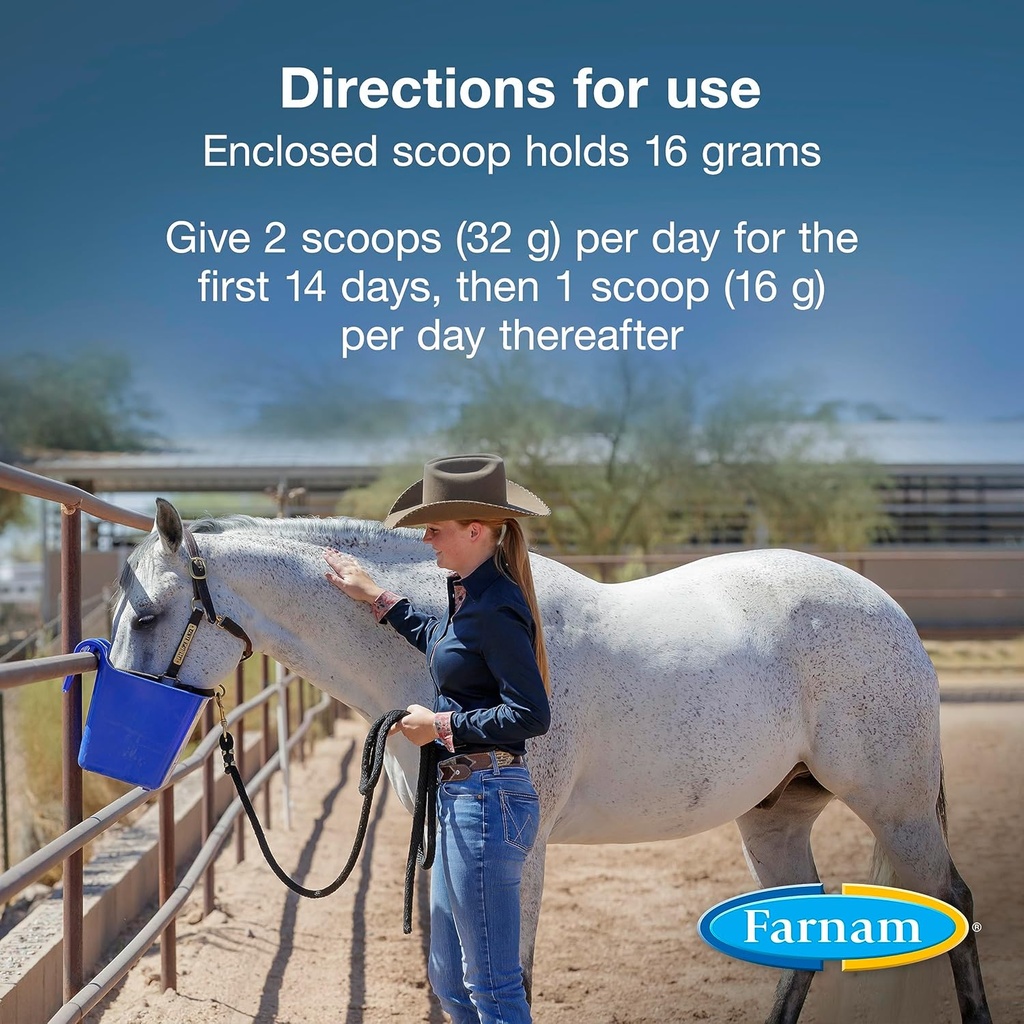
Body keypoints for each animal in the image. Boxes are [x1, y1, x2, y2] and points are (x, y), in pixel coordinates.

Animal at [108, 501, 992, 1024]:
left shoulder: (517, 850)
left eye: (149, 615)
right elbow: (451, 981)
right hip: (774, 816)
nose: (118, 756)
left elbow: (510, 976)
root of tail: (883, 608)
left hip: (898, 808)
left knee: (951, 900)